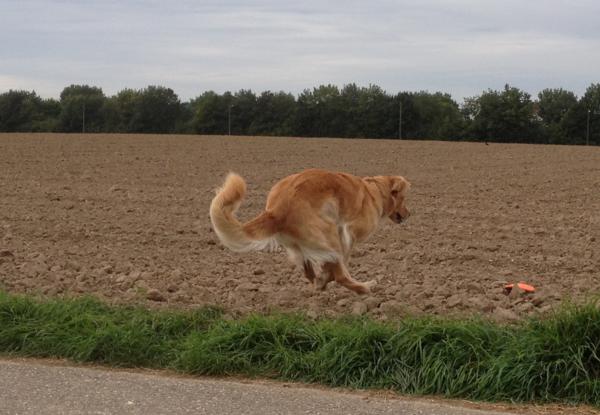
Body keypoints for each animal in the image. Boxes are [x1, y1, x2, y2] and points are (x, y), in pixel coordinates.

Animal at [209, 169, 410, 296]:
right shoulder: (347, 233)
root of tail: (277, 209)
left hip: (300, 244)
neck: (375, 191)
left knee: (309, 271)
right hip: (329, 233)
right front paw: (327, 276)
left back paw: (320, 284)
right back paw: (364, 287)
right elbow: (339, 263)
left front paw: (323, 278)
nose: (409, 214)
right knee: (341, 275)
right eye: (404, 197)